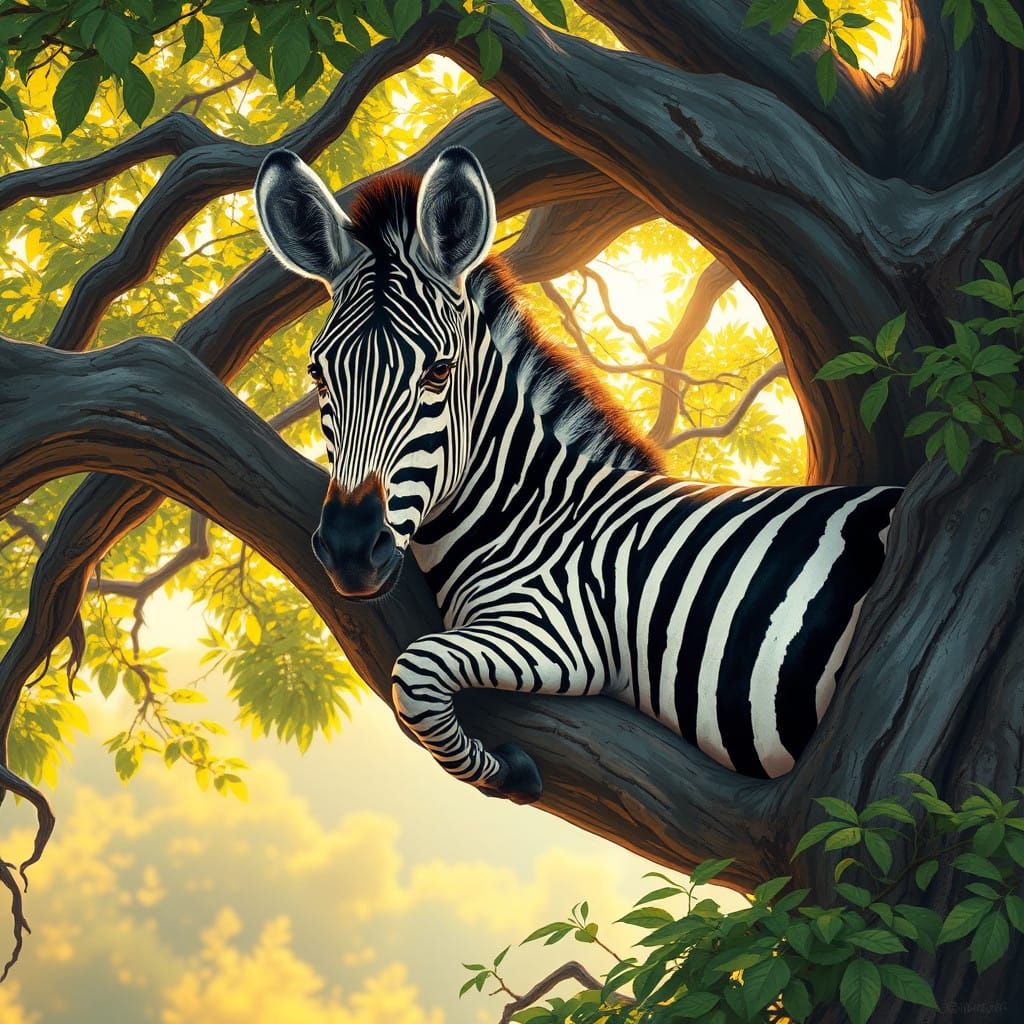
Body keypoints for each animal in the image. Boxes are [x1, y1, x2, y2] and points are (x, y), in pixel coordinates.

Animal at [254, 146, 901, 804]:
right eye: (317, 374)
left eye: (438, 372)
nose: (349, 550)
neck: (532, 512)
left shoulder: (563, 630)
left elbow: (413, 673)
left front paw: (507, 774)